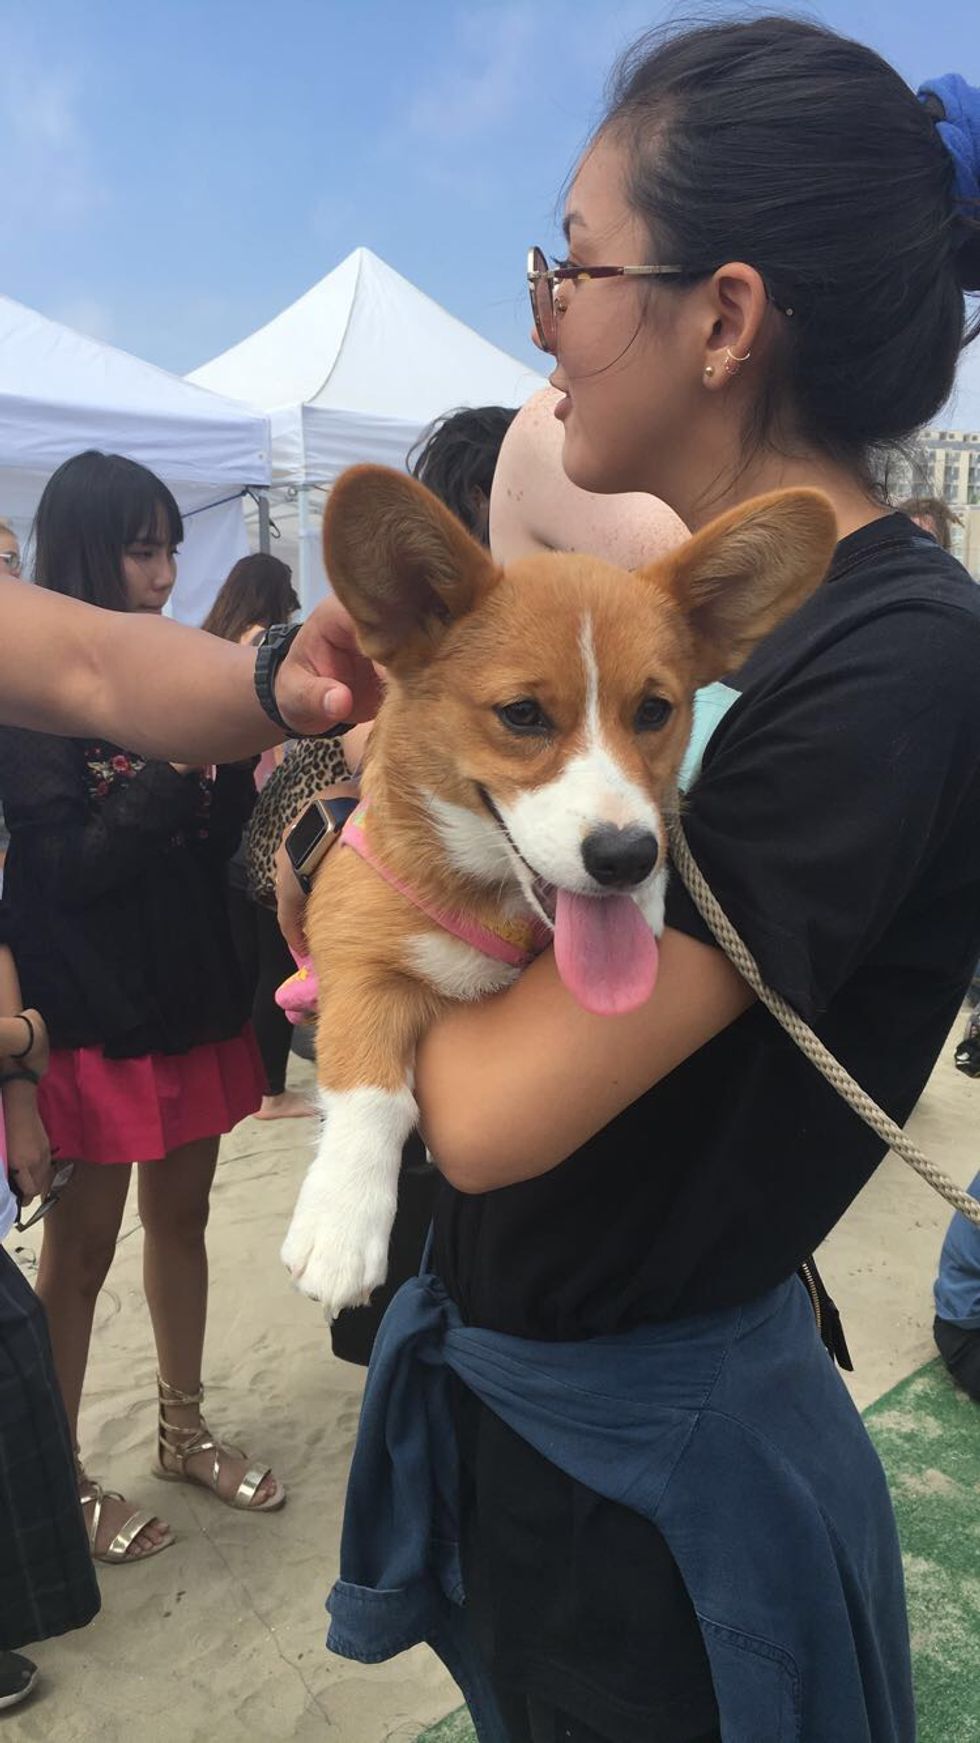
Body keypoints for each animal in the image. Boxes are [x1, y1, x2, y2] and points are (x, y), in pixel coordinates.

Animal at [281, 465, 837, 1317]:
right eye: (522, 714)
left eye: (654, 710)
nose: (626, 859)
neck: (490, 895)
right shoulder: (355, 956)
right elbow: (372, 1081)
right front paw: (341, 1221)